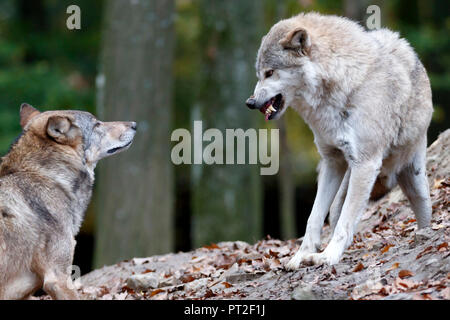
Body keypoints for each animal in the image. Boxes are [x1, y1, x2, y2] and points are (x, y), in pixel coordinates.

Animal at [246, 11, 432, 268]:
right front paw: (302, 255)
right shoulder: (332, 162)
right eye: (259, 74)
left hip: (415, 183)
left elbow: (346, 222)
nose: (250, 102)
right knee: (334, 213)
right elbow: (314, 217)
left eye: (270, 73)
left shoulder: (365, 164)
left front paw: (328, 256)